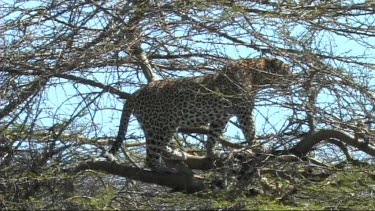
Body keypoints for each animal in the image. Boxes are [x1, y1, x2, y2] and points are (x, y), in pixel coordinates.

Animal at [108, 58, 290, 173]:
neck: (255, 74)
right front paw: (259, 147)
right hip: (159, 125)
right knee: (150, 156)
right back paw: (162, 169)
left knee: (158, 146)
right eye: (287, 69)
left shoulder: (221, 117)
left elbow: (213, 136)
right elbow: (250, 130)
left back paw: (176, 154)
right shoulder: (244, 110)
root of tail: (136, 93)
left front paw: (211, 153)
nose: (293, 77)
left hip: (163, 126)